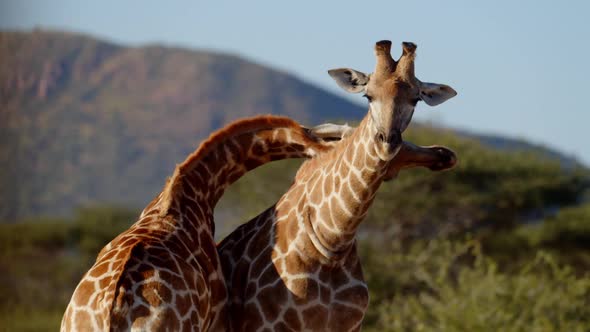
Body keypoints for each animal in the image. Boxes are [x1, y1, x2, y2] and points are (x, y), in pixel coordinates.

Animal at [217, 40, 458, 330]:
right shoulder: (266, 324)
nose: (444, 155)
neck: (333, 242)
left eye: (416, 99)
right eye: (368, 96)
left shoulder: (350, 325)